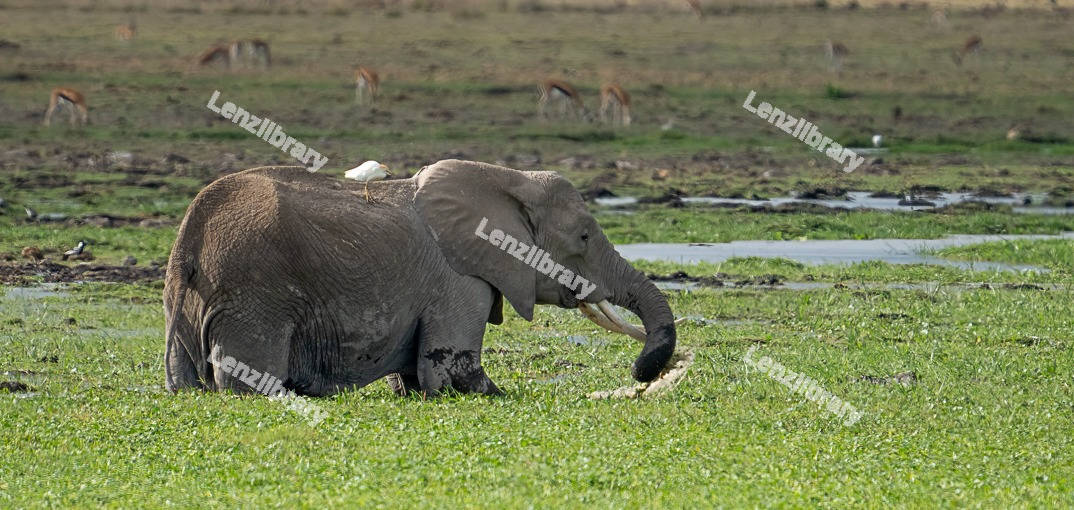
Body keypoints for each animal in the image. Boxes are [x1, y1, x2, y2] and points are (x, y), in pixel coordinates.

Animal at [164, 159, 677, 397]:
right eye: (584, 237)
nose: (641, 371)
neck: (507, 179)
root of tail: (189, 238)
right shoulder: (460, 282)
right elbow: (452, 373)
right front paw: (499, 394)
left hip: (188, 299)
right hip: (254, 297)